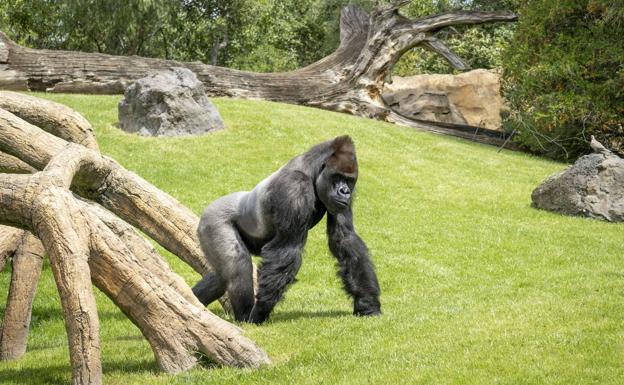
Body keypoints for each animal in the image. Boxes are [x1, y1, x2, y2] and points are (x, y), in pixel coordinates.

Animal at [194, 136, 380, 322]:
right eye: (337, 177)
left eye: (349, 180)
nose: (345, 191)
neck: (312, 169)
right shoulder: (295, 186)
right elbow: (287, 248)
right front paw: (260, 312)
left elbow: (344, 239)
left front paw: (367, 303)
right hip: (213, 219)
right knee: (237, 264)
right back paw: (244, 315)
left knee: (221, 276)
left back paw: (196, 299)